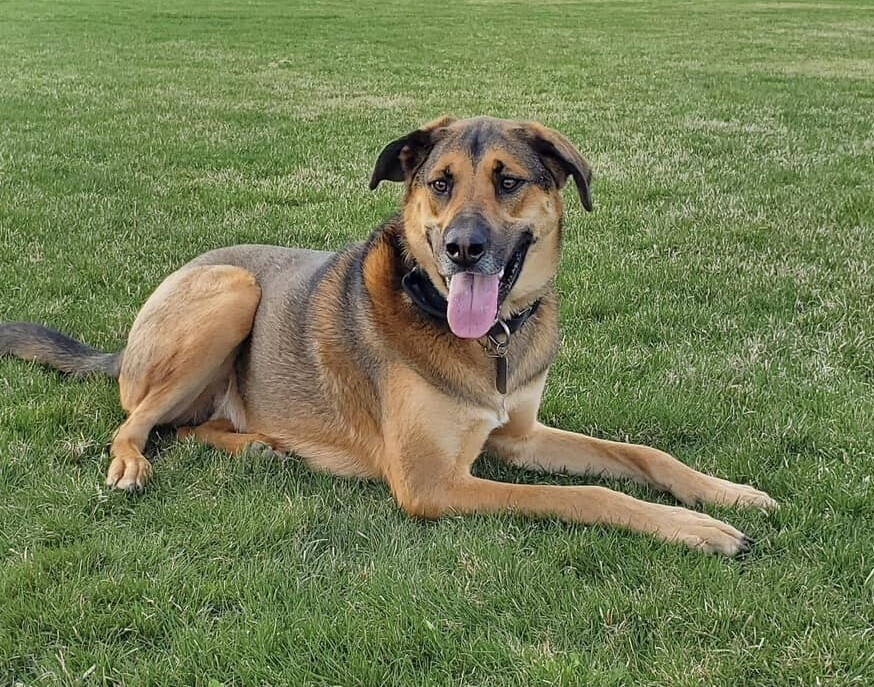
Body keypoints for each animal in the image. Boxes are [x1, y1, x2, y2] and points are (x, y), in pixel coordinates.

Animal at [1, 118, 776, 556]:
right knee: (136, 422)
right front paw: (696, 530)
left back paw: (257, 445)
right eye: (439, 182)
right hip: (233, 291)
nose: (463, 248)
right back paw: (135, 462)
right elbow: (590, 496)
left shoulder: (518, 437)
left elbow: (640, 453)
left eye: (509, 182)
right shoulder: (433, 484)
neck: (487, 342)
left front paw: (727, 494)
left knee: (189, 425)